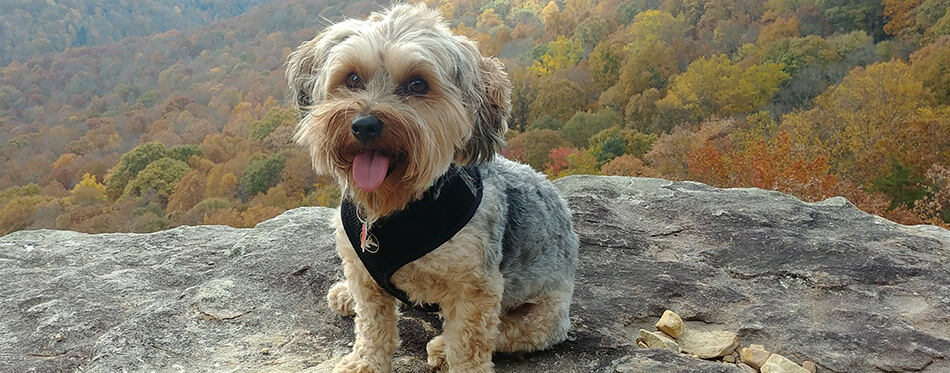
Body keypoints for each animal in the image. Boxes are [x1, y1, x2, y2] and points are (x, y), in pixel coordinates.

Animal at [282, 4, 580, 370]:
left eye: (417, 84)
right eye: (352, 78)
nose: (364, 125)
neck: (401, 206)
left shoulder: (475, 288)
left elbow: (469, 343)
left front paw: (457, 359)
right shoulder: (363, 271)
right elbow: (372, 325)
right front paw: (367, 362)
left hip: (546, 315)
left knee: (509, 331)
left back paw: (440, 347)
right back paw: (346, 295)